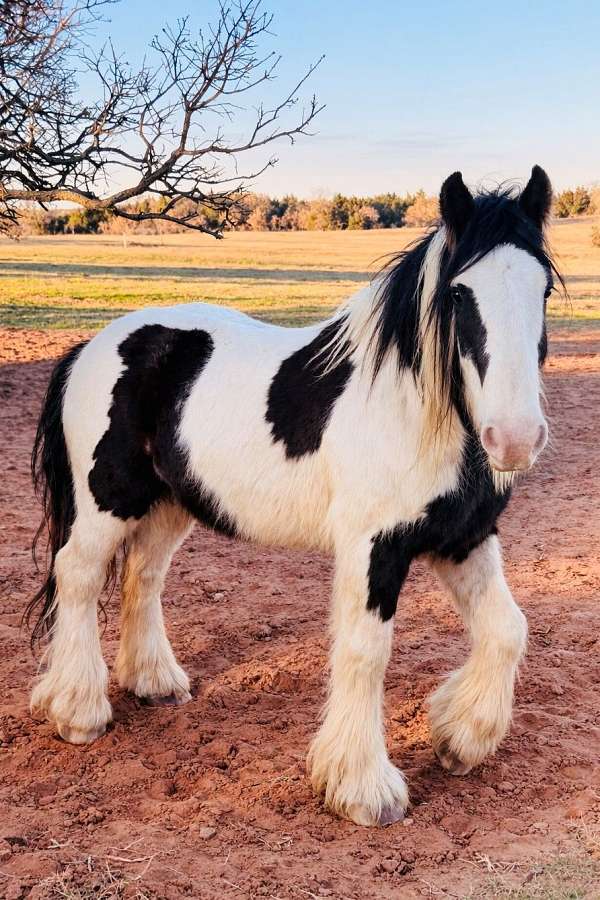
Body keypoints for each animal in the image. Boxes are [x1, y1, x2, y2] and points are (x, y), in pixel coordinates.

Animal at [27, 165, 559, 827]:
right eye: (460, 295)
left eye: (543, 291)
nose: (514, 439)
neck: (413, 411)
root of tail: (93, 347)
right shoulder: (374, 548)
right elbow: (365, 651)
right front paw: (362, 788)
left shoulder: (463, 539)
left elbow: (507, 630)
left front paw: (459, 738)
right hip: (108, 500)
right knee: (76, 575)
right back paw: (77, 712)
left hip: (170, 504)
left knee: (141, 578)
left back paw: (154, 683)